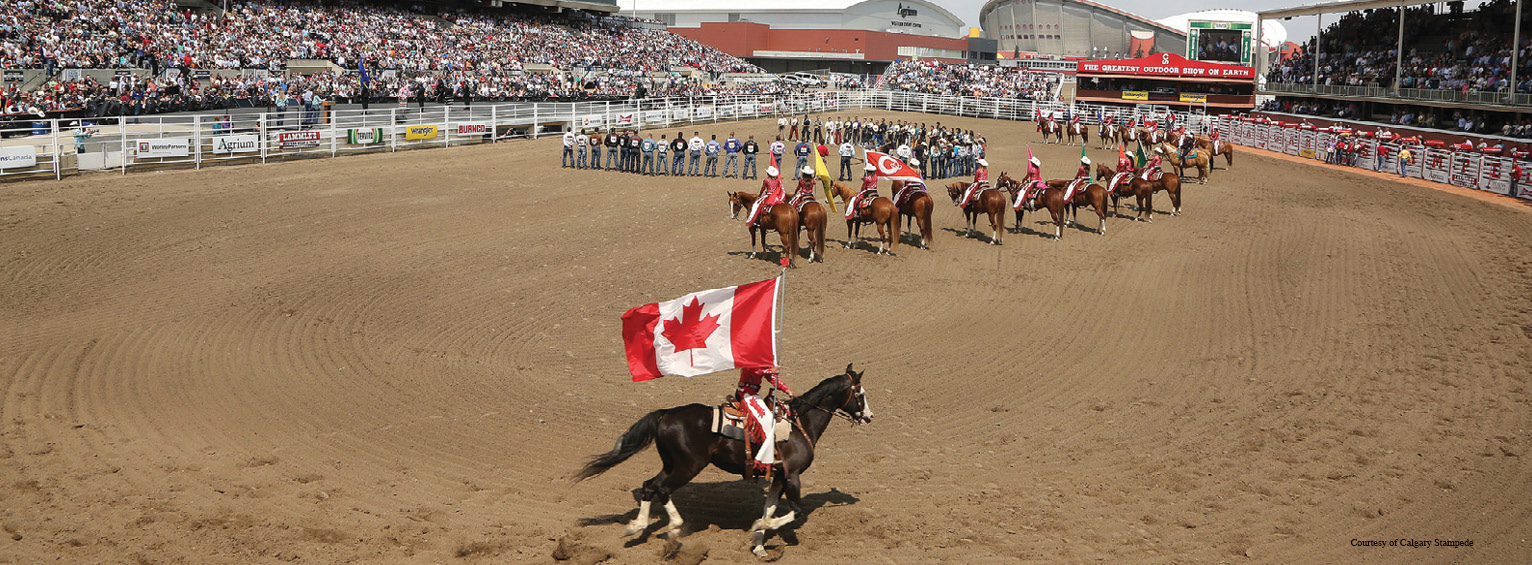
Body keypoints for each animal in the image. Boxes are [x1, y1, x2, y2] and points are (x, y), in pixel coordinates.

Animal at [576, 362, 876, 557]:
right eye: (860, 394)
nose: (869, 417)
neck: (800, 422)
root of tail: (666, 413)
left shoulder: (778, 477)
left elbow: (769, 507)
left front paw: (759, 546)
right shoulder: (792, 475)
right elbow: (794, 511)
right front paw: (759, 529)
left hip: (673, 464)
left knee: (651, 486)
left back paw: (650, 528)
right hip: (688, 466)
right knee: (657, 487)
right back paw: (665, 528)